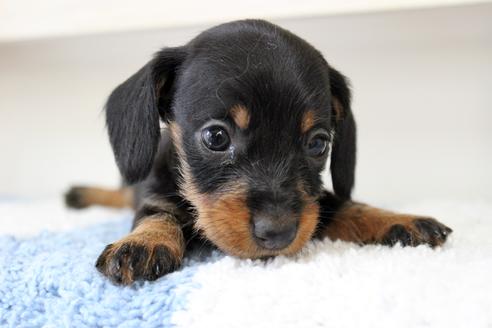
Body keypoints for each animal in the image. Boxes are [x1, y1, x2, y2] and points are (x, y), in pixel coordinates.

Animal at [66, 19, 454, 284]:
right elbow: (157, 215)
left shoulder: (315, 202)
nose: (278, 233)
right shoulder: (154, 193)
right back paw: (81, 193)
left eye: (318, 143)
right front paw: (144, 242)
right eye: (216, 137)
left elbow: (346, 205)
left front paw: (397, 219)